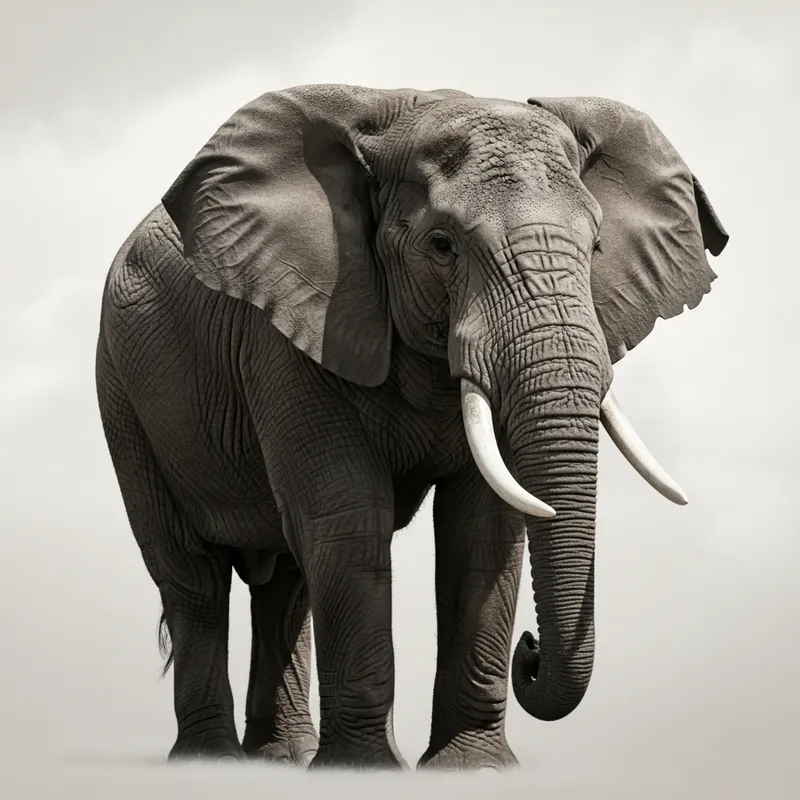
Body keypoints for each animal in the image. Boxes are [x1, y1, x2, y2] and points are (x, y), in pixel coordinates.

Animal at [95, 84, 728, 771]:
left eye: (595, 248)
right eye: (442, 245)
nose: (530, 651)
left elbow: (481, 531)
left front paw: (475, 770)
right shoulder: (290, 331)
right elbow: (348, 518)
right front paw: (365, 771)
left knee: (286, 583)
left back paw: (282, 758)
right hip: (123, 395)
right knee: (194, 578)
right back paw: (212, 761)